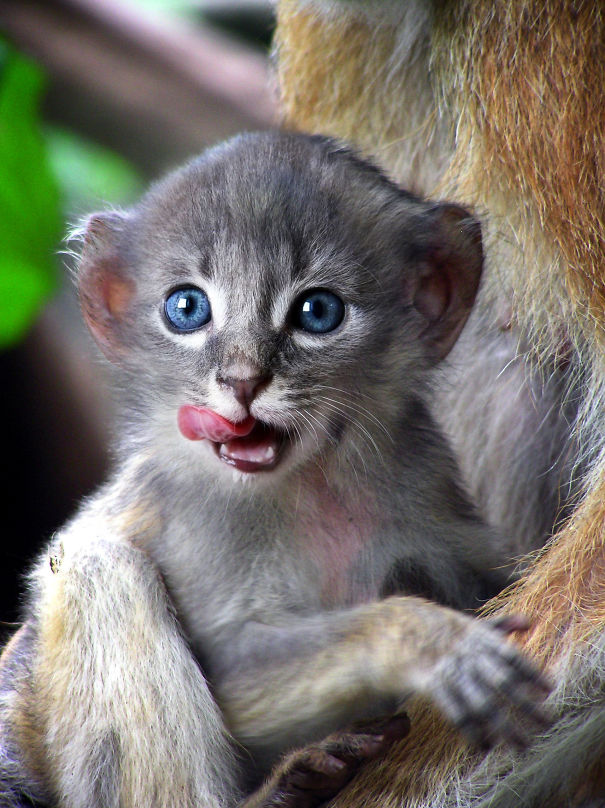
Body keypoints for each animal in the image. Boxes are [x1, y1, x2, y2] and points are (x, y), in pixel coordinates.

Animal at [0, 131, 550, 807]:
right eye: (187, 308)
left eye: (317, 312)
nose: (242, 381)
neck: (311, 487)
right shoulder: (189, 512)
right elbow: (231, 673)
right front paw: (423, 638)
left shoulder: (424, 481)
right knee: (97, 568)